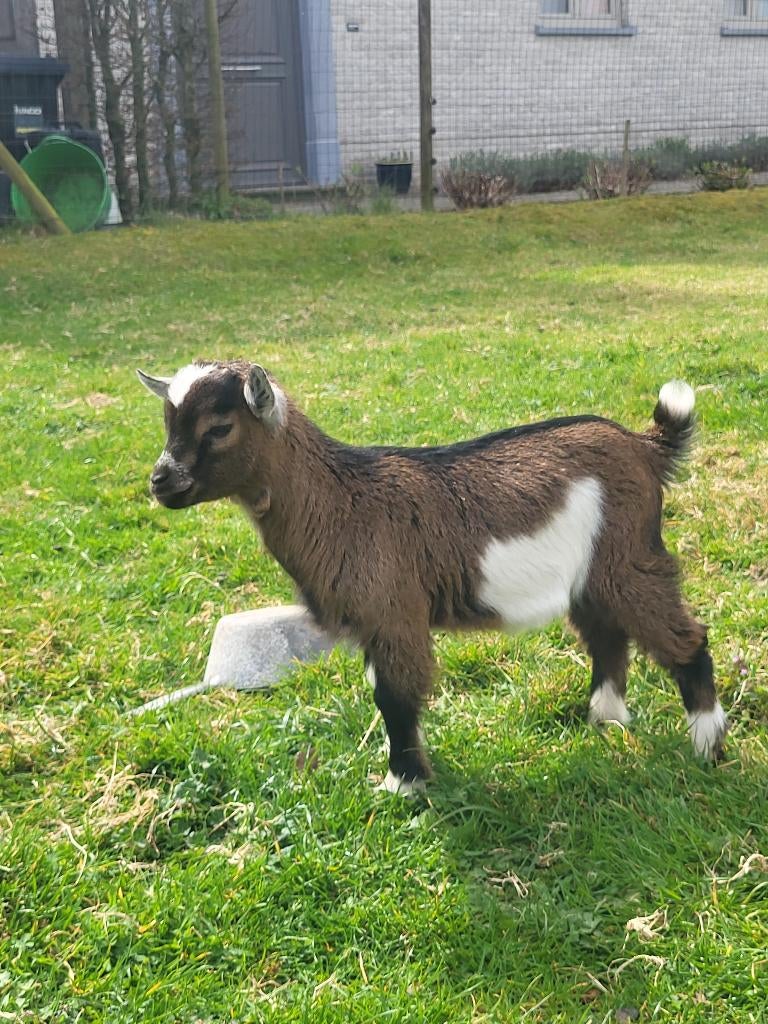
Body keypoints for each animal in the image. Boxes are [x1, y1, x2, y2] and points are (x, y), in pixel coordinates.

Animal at [138, 361, 727, 792]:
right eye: (167, 423)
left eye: (219, 427)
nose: (161, 482)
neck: (344, 499)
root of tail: (644, 446)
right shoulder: (374, 623)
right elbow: (384, 693)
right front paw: (404, 771)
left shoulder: (394, 610)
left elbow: (396, 696)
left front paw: (403, 784)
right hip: (591, 575)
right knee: (607, 636)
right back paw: (604, 721)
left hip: (628, 557)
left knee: (685, 638)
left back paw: (709, 747)